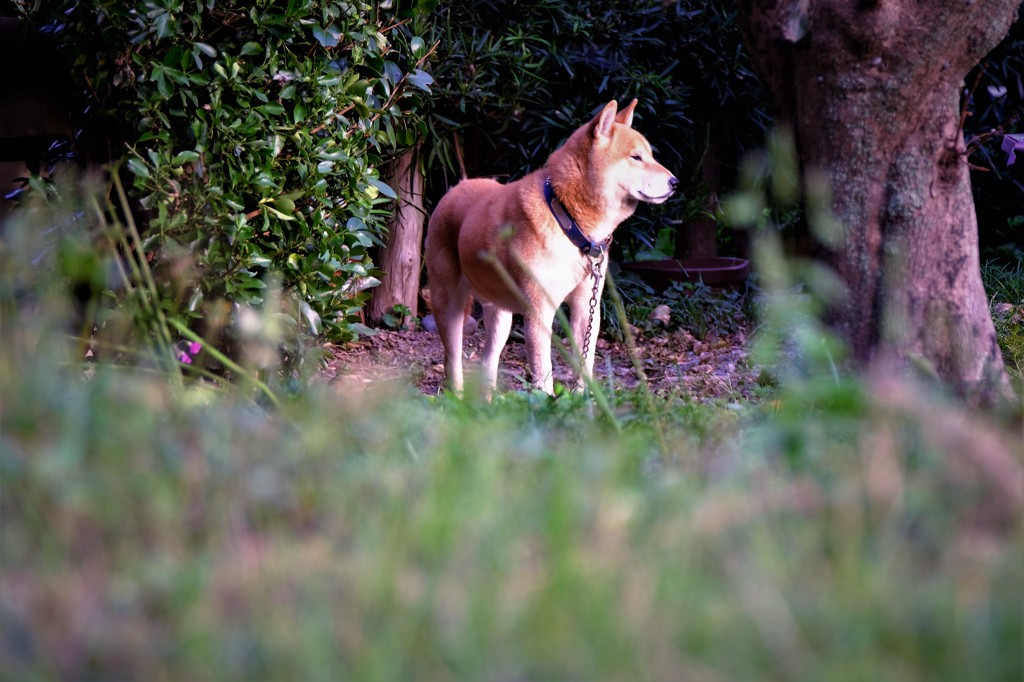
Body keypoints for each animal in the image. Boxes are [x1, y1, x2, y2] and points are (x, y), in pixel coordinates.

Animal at [425, 96, 679, 393]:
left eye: (650, 155)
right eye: (636, 157)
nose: (675, 182)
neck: (569, 221)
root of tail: (454, 190)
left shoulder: (585, 308)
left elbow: (585, 364)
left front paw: (584, 400)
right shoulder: (539, 313)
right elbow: (543, 374)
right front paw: (547, 403)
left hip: (500, 316)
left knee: (488, 362)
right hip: (450, 306)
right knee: (452, 361)